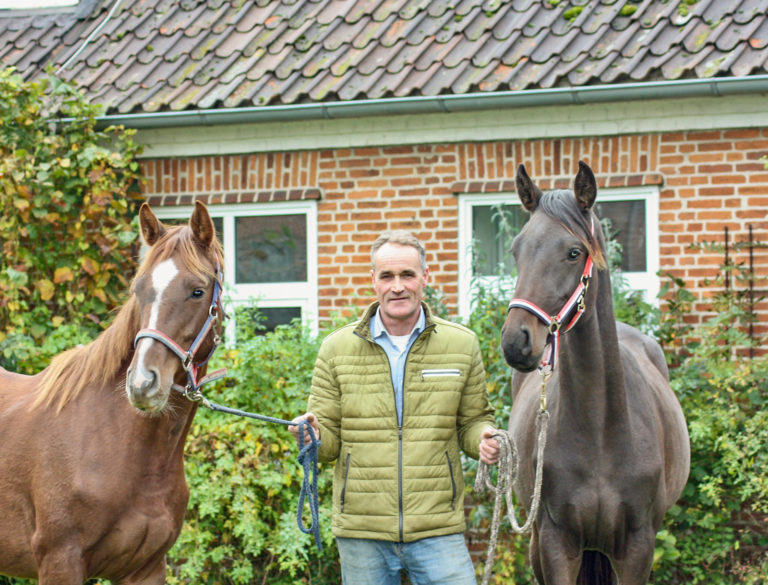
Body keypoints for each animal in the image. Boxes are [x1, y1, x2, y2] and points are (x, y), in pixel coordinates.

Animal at [498, 162, 688, 584]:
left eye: (574, 252)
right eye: (516, 249)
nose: (516, 341)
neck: (601, 428)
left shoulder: (638, 547)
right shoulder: (555, 542)